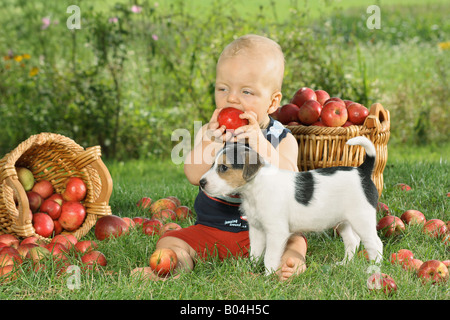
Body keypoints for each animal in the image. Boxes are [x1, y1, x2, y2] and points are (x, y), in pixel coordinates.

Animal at [200, 136, 384, 274]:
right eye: (212, 165)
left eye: (224, 167)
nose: (201, 182)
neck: (256, 186)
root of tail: (362, 171)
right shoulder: (257, 230)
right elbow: (255, 253)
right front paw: (250, 269)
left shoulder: (276, 232)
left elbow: (269, 257)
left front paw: (268, 277)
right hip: (344, 222)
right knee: (353, 241)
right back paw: (344, 264)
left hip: (362, 219)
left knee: (375, 244)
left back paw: (374, 269)